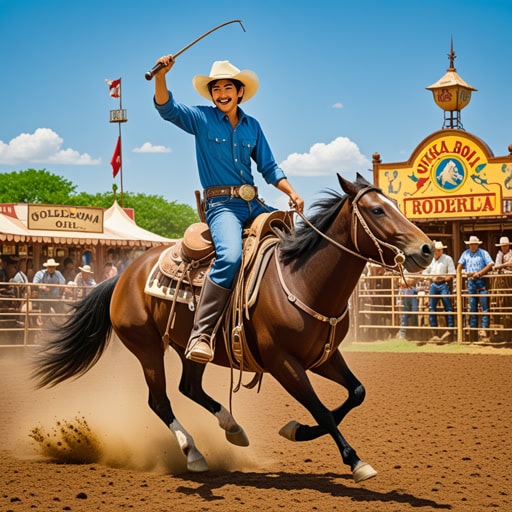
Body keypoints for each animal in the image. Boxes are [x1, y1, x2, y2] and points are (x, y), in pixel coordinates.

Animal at [32, 174, 432, 482]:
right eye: (378, 209)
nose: (427, 248)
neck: (301, 280)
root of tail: (124, 275)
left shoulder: (323, 357)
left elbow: (355, 394)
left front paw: (295, 430)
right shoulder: (284, 363)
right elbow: (320, 408)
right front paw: (355, 461)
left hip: (190, 347)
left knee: (189, 387)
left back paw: (233, 429)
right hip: (146, 348)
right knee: (160, 400)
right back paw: (193, 453)